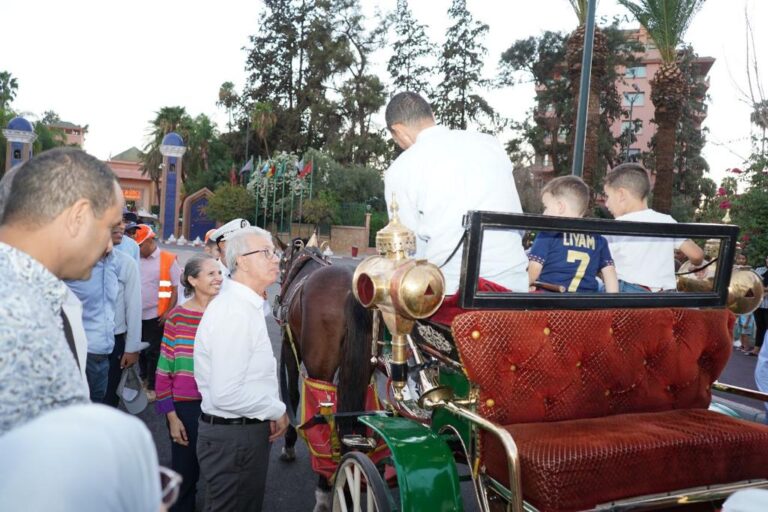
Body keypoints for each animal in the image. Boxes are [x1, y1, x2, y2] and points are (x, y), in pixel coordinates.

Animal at [274, 238, 374, 510]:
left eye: (281, 262)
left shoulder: (289, 347)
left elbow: (293, 396)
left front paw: (288, 446)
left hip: (321, 368)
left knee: (326, 416)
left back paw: (324, 489)